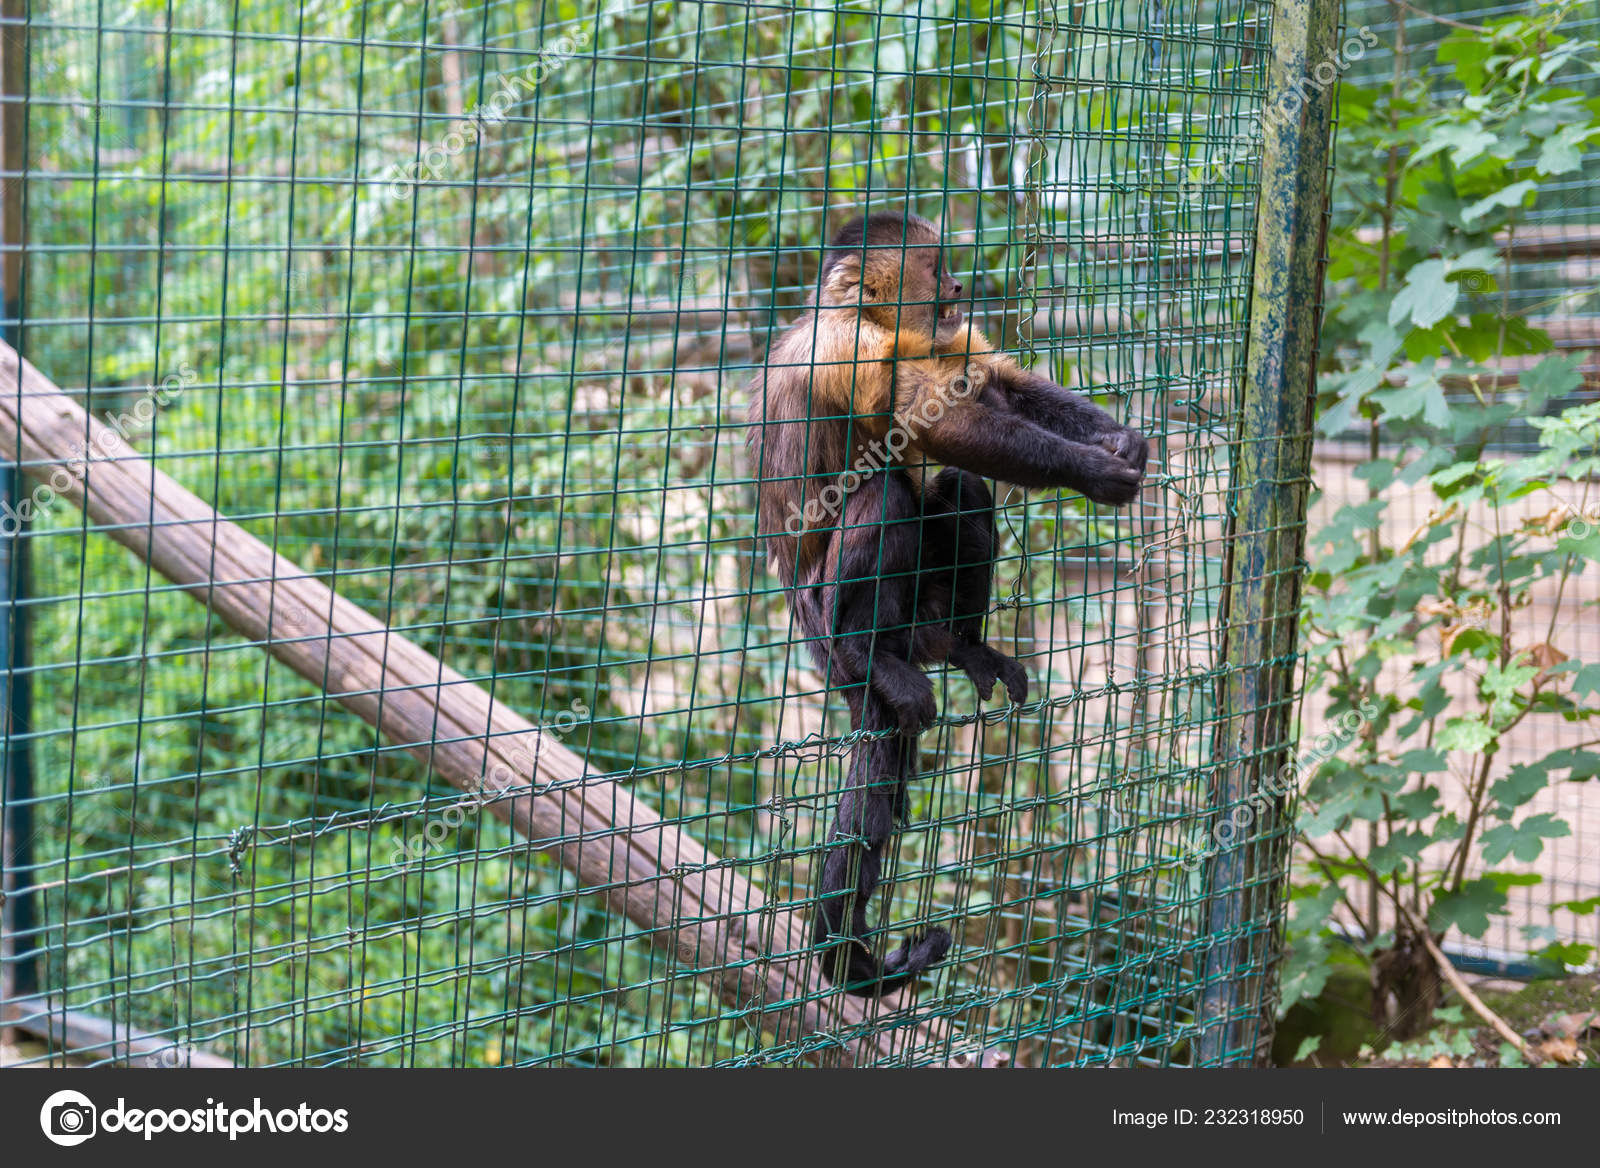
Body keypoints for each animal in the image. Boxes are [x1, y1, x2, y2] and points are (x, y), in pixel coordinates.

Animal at [746, 211, 1148, 997]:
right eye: (937, 270)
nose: (961, 287)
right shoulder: (849, 347)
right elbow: (931, 420)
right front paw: (1091, 470)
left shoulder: (929, 337)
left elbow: (995, 387)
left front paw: (1119, 438)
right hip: (819, 618)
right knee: (888, 495)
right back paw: (865, 652)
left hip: (922, 611)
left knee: (959, 488)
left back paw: (963, 643)